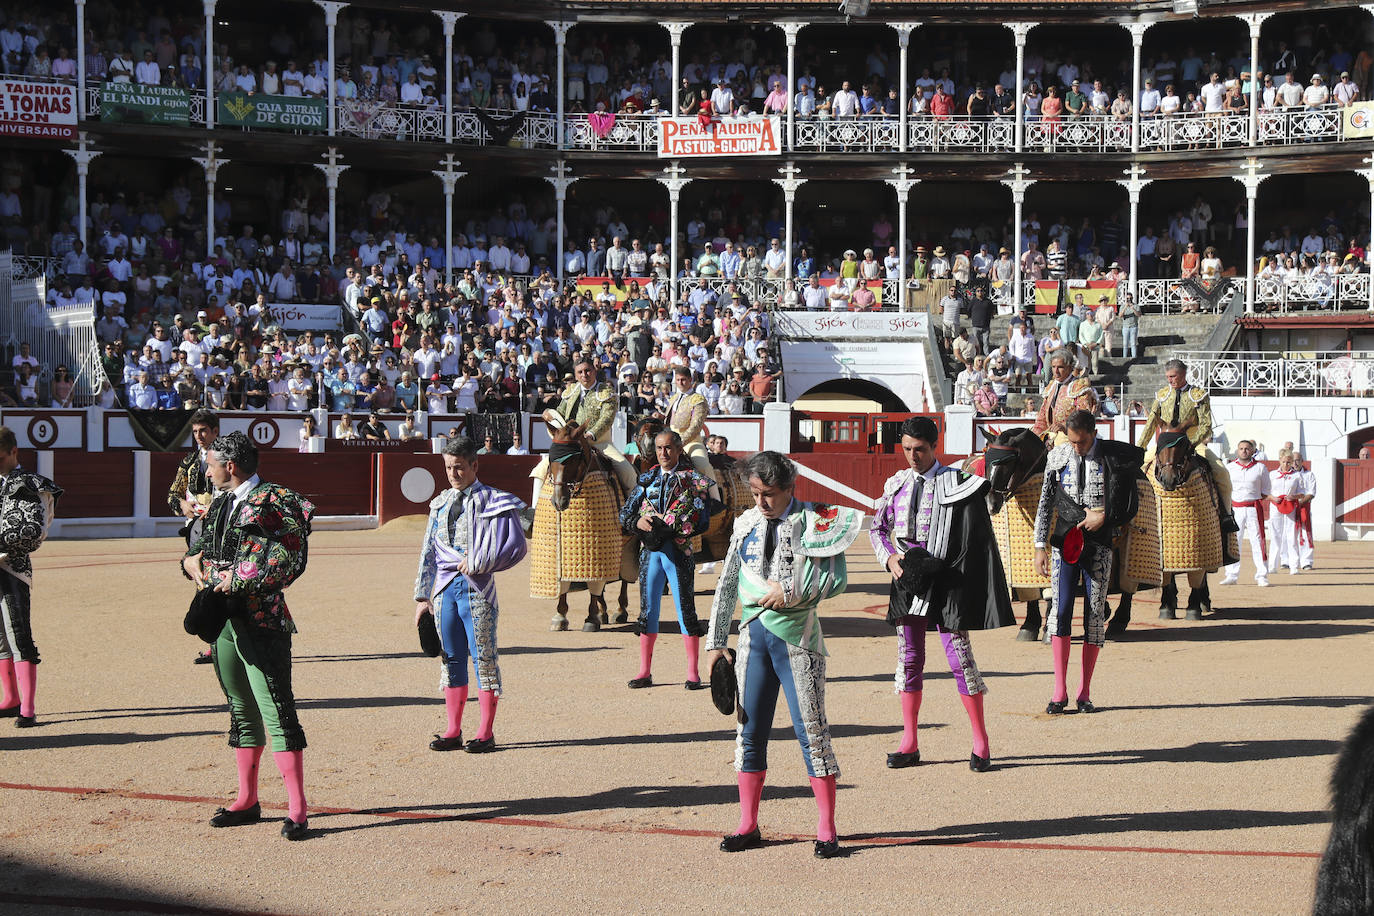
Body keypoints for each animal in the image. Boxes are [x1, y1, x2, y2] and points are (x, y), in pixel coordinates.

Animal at [527, 420, 634, 631]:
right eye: (551, 458)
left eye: (574, 460)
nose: (558, 501)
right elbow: (564, 582)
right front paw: (560, 616)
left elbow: (595, 583)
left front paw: (591, 618)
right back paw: (604, 612)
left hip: (630, 542)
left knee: (624, 576)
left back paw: (620, 611)